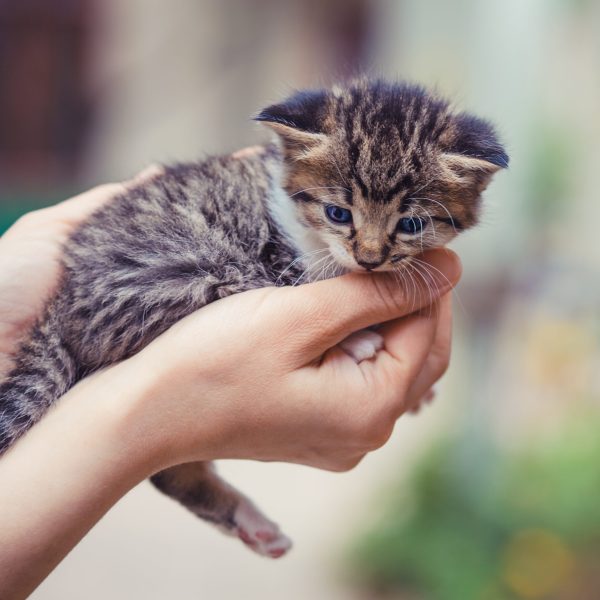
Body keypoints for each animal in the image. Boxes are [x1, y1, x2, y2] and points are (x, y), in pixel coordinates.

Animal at [0, 79, 506, 556]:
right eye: (338, 213)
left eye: (411, 224)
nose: (369, 259)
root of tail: (63, 295)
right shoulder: (275, 259)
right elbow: (294, 285)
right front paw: (357, 338)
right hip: (180, 272)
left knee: (170, 472)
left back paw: (252, 524)